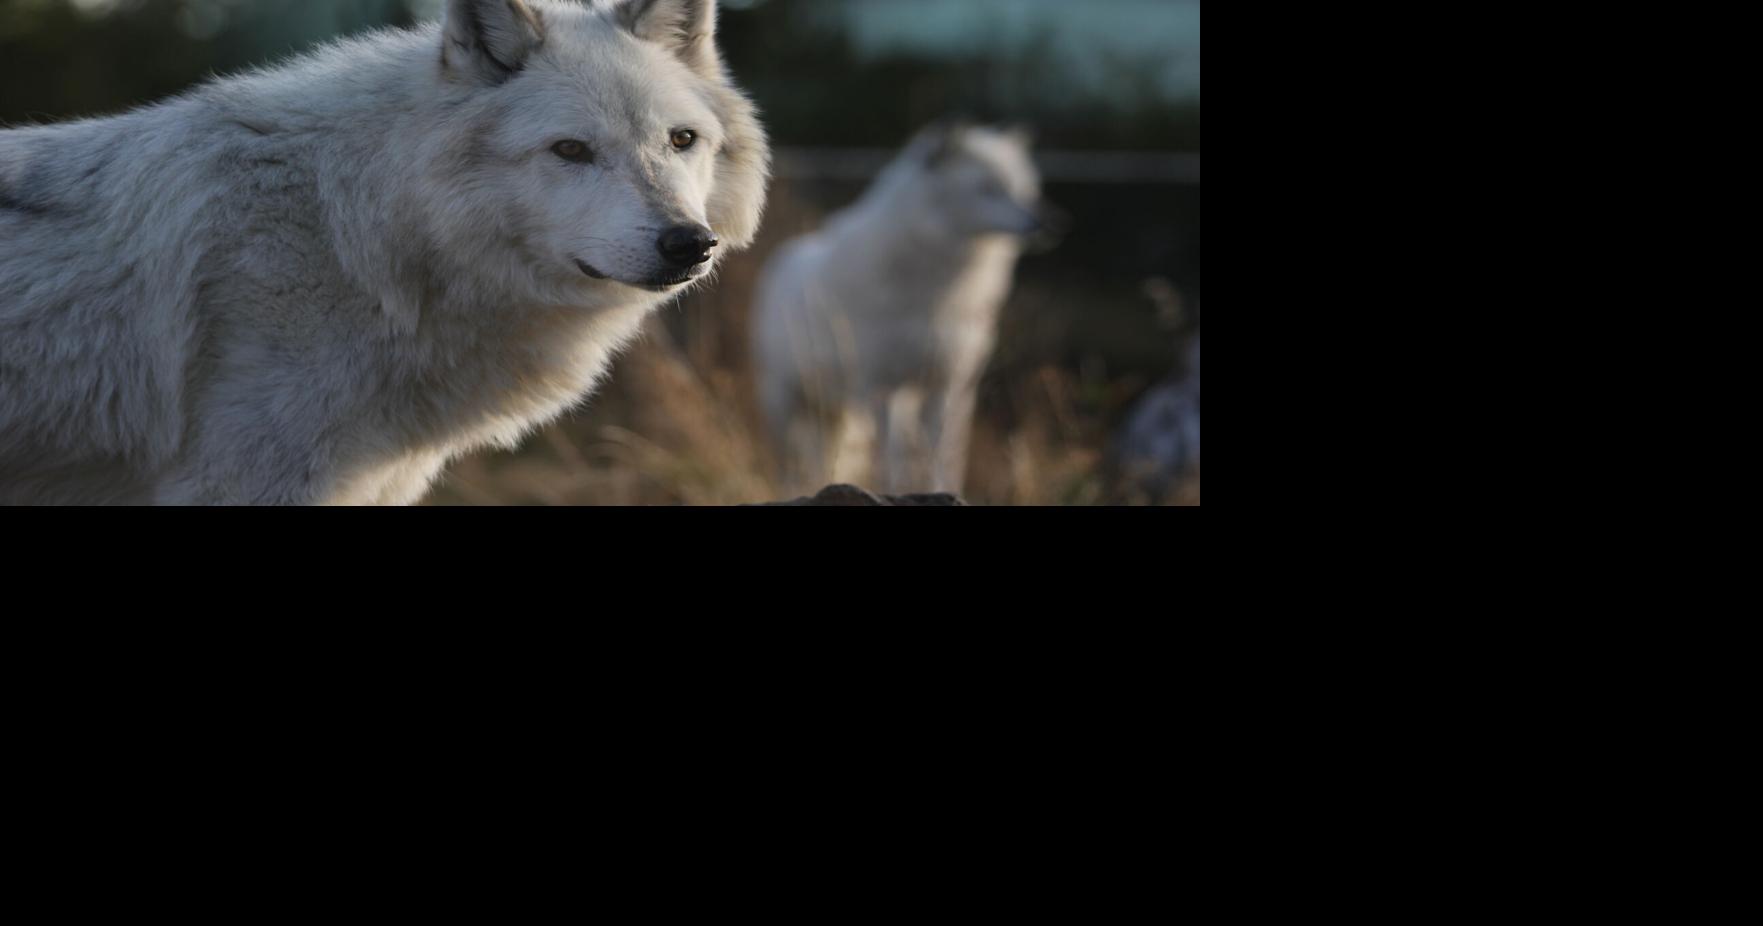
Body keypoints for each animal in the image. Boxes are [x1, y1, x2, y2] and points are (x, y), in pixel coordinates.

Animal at [751, 122, 1049, 496]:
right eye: (988, 189)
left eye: (1023, 190)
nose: (1047, 222)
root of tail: (785, 255)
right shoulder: (881, 387)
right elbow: (890, 457)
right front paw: (890, 491)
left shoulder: (946, 385)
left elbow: (943, 457)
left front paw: (942, 491)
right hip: (786, 404)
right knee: (789, 467)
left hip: (844, 410)